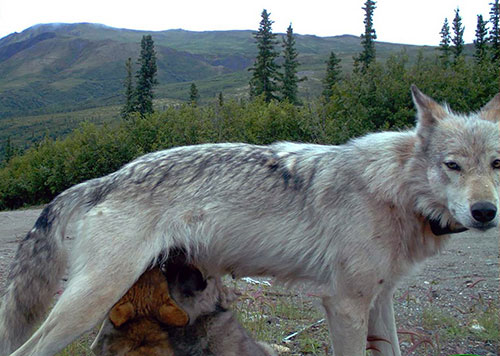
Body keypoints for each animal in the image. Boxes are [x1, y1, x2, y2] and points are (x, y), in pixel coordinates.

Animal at [0, 87, 500, 356]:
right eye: (453, 165)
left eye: (496, 164)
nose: (485, 212)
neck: (394, 187)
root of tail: (107, 178)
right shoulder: (344, 304)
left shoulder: (380, 300)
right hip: (88, 303)